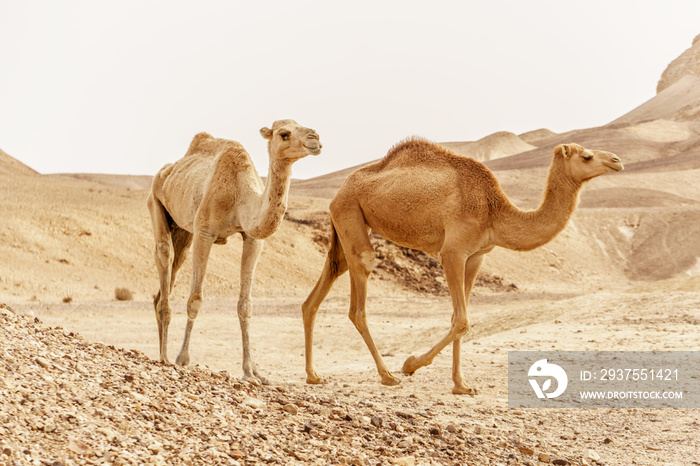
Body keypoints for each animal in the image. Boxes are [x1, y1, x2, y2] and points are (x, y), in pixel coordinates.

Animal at [148, 119, 322, 382]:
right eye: (284, 134)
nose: (315, 138)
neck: (240, 196)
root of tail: (164, 171)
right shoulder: (204, 232)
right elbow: (195, 299)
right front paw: (183, 359)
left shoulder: (252, 238)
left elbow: (245, 305)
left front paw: (252, 371)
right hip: (156, 201)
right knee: (164, 255)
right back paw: (165, 356)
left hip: (183, 230)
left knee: (172, 270)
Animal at [304, 141, 620, 394]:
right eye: (588, 156)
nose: (617, 160)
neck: (494, 212)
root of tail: (340, 190)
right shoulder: (453, 253)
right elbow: (462, 321)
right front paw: (410, 364)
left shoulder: (476, 256)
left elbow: (458, 318)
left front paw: (461, 385)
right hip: (350, 213)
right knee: (358, 299)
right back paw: (388, 375)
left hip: (345, 227)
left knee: (321, 288)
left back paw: (313, 375)